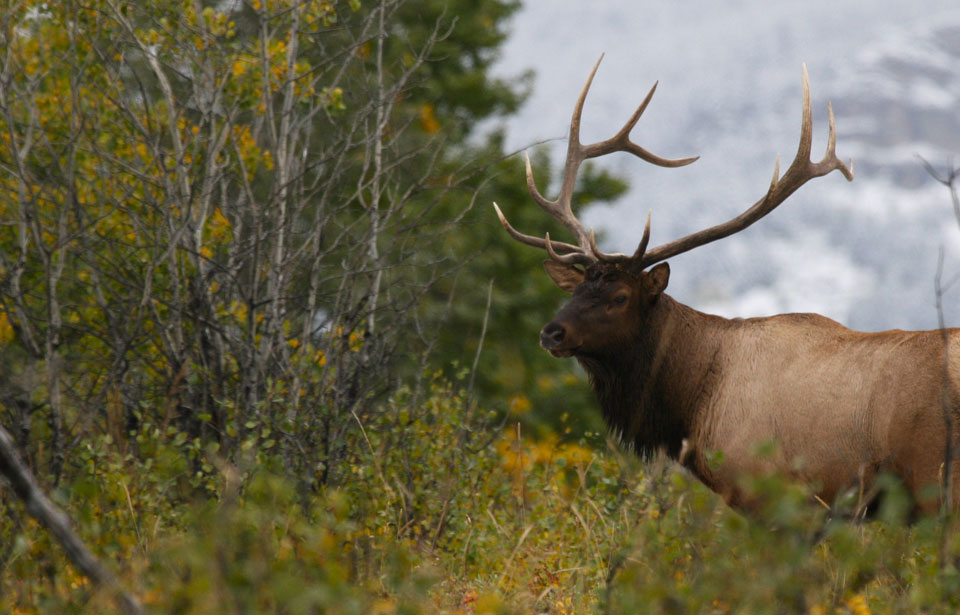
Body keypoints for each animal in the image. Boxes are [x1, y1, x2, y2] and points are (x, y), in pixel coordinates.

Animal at [496, 56, 960, 520]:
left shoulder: (770, 490)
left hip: (931, 475)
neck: (692, 403)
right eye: (574, 292)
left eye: (620, 297)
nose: (551, 333)